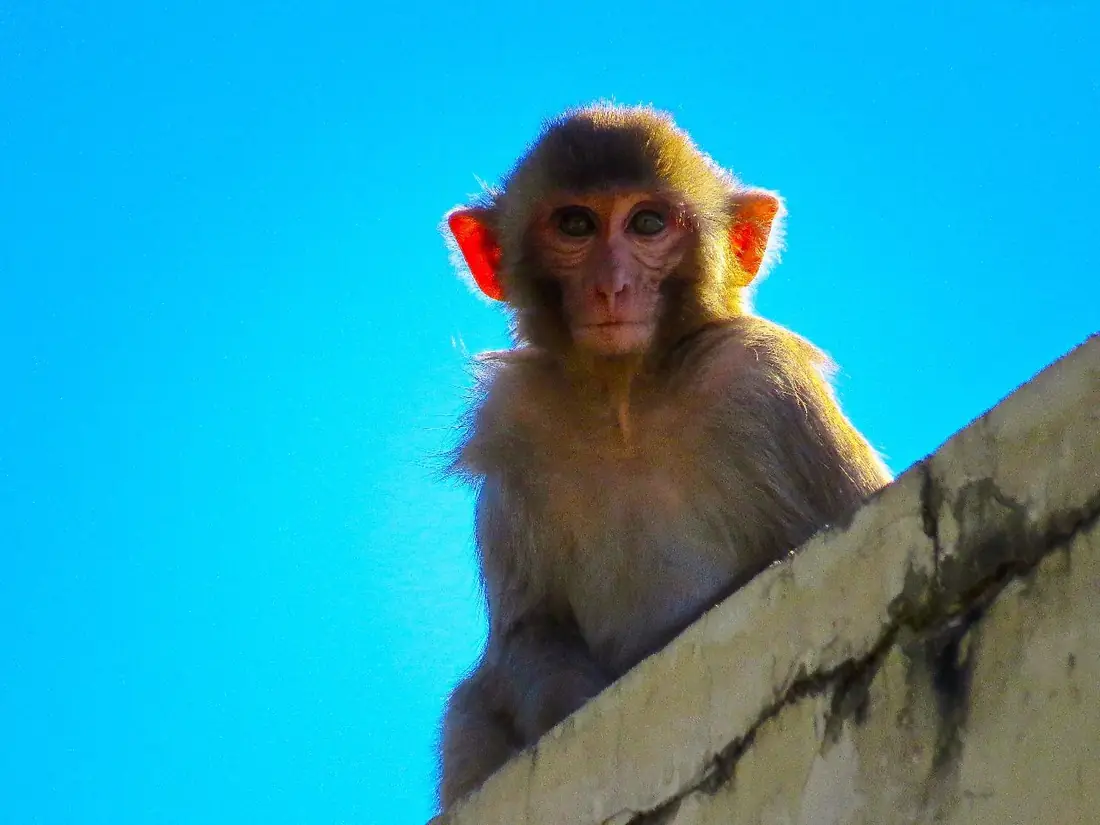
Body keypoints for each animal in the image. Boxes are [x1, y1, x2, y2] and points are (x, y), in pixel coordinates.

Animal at [435, 104, 892, 808]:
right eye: (575, 224)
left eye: (647, 223)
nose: (611, 286)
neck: (629, 403)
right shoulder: (517, 420)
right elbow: (528, 635)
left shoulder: (765, 382)